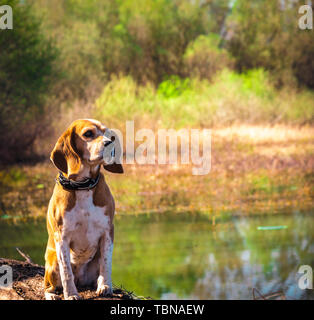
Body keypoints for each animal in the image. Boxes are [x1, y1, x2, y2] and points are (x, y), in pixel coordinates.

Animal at [44, 118, 122, 300]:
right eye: (88, 134)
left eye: (108, 134)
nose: (110, 143)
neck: (83, 186)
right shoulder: (61, 237)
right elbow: (66, 272)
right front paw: (71, 294)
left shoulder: (108, 231)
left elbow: (106, 264)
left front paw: (105, 286)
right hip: (51, 262)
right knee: (48, 287)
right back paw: (52, 295)